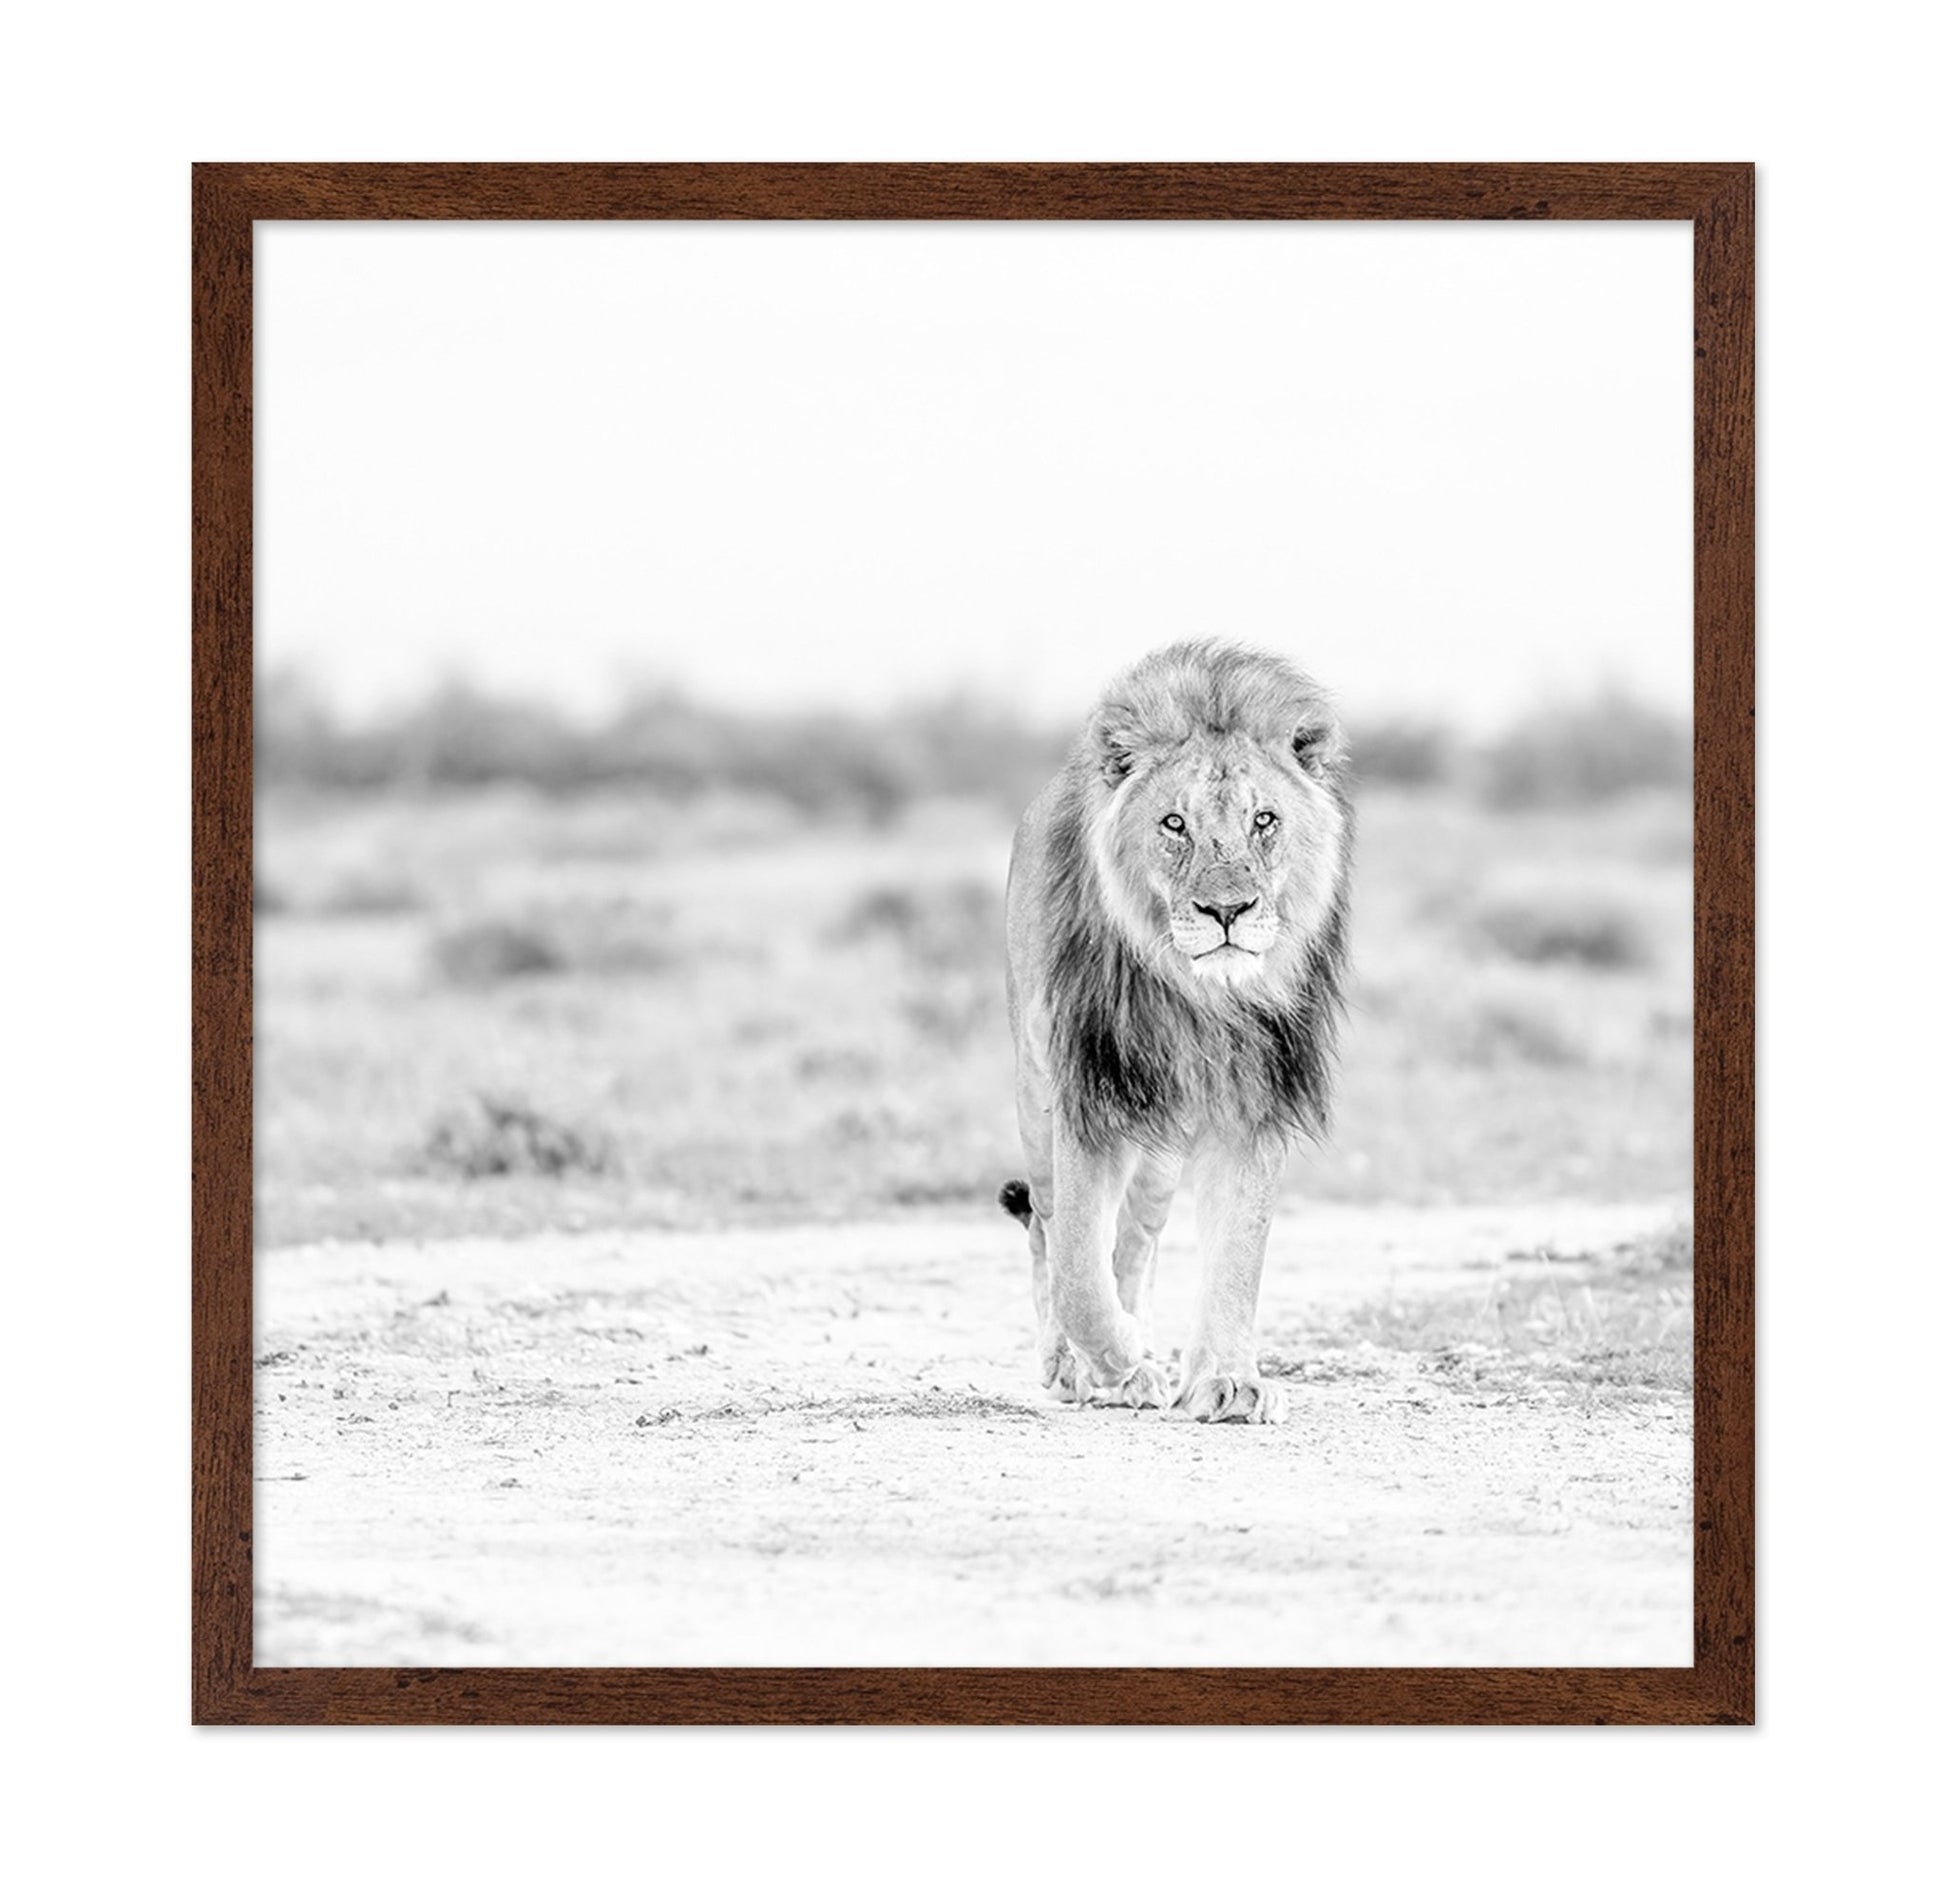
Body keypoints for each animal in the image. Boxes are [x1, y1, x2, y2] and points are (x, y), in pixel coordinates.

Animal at [999, 639, 1352, 1424]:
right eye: (1173, 824)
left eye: (1264, 820)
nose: (1228, 910)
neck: (1198, 998)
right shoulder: (1088, 1094)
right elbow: (1077, 1272)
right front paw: (1118, 1362)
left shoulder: (1253, 1103)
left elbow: (1237, 1256)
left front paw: (1227, 1380)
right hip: (1037, 1100)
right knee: (1047, 1226)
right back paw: (1079, 1366)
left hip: (1159, 1151)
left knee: (1136, 1240)